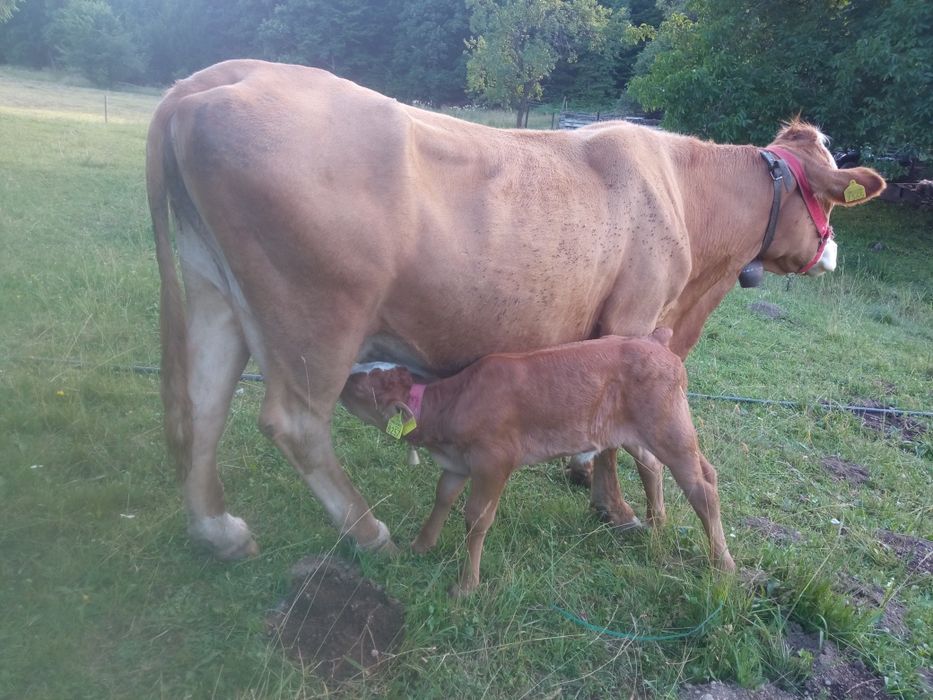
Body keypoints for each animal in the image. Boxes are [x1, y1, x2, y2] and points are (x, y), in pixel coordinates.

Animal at [146, 59, 885, 559]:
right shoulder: (633, 317)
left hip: (213, 287)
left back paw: (217, 530)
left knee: (203, 402)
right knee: (294, 421)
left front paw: (582, 473)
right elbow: (618, 437)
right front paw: (616, 509)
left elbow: (602, 426)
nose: (833, 252)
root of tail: (217, 77)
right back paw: (369, 532)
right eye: (829, 200)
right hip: (318, 314)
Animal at [342, 329, 735, 595]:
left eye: (360, 386)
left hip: (670, 428)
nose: (343, 374)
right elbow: (442, 498)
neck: (453, 402)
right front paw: (420, 546)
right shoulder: (457, 463)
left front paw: (466, 585)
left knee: (702, 487)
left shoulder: (494, 461)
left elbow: (476, 518)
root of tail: (654, 340)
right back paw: (656, 524)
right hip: (637, 433)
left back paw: (723, 563)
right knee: (664, 466)